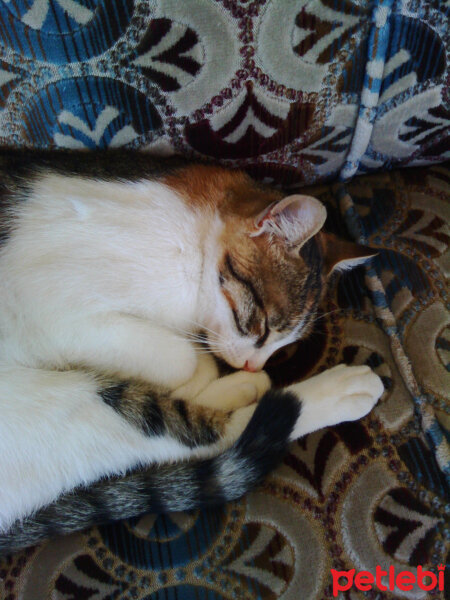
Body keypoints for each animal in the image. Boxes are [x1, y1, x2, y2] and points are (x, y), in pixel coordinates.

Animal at [0, 150, 384, 552]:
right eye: (262, 326)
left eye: (285, 346)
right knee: (204, 436)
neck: (191, 248)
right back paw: (337, 390)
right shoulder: (49, 314)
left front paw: (206, 373)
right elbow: (179, 359)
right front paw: (195, 371)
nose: (252, 365)